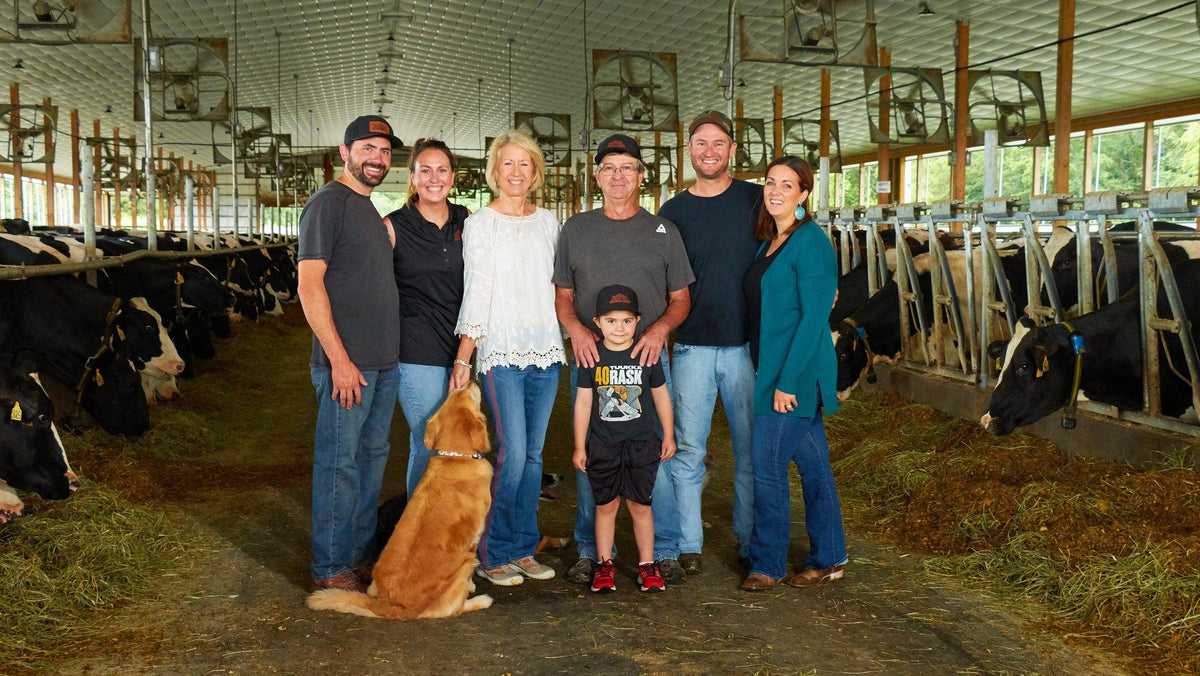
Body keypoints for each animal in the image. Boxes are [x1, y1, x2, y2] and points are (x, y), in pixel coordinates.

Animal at [312, 381, 499, 619]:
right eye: (468, 393)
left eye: (458, 392)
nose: (470, 381)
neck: (455, 458)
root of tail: (389, 604)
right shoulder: (474, 538)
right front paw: (473, 586)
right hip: (464, 563)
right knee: (453, 608)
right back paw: (481, 600)